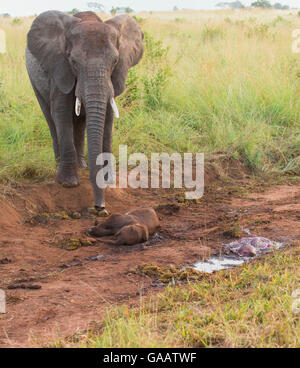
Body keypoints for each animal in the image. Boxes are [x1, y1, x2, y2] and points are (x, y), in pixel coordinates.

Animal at [25, 11, 144, 211]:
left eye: (115, 61)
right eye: (73, 62)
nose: (100, 207)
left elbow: (108, 118)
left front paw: (108, 179)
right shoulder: (60, 70)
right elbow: (61, 113)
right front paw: (68, 183)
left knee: (80, 124)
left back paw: (81, 165)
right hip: (34, 81)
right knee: (50, 118)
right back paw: (59, 163)